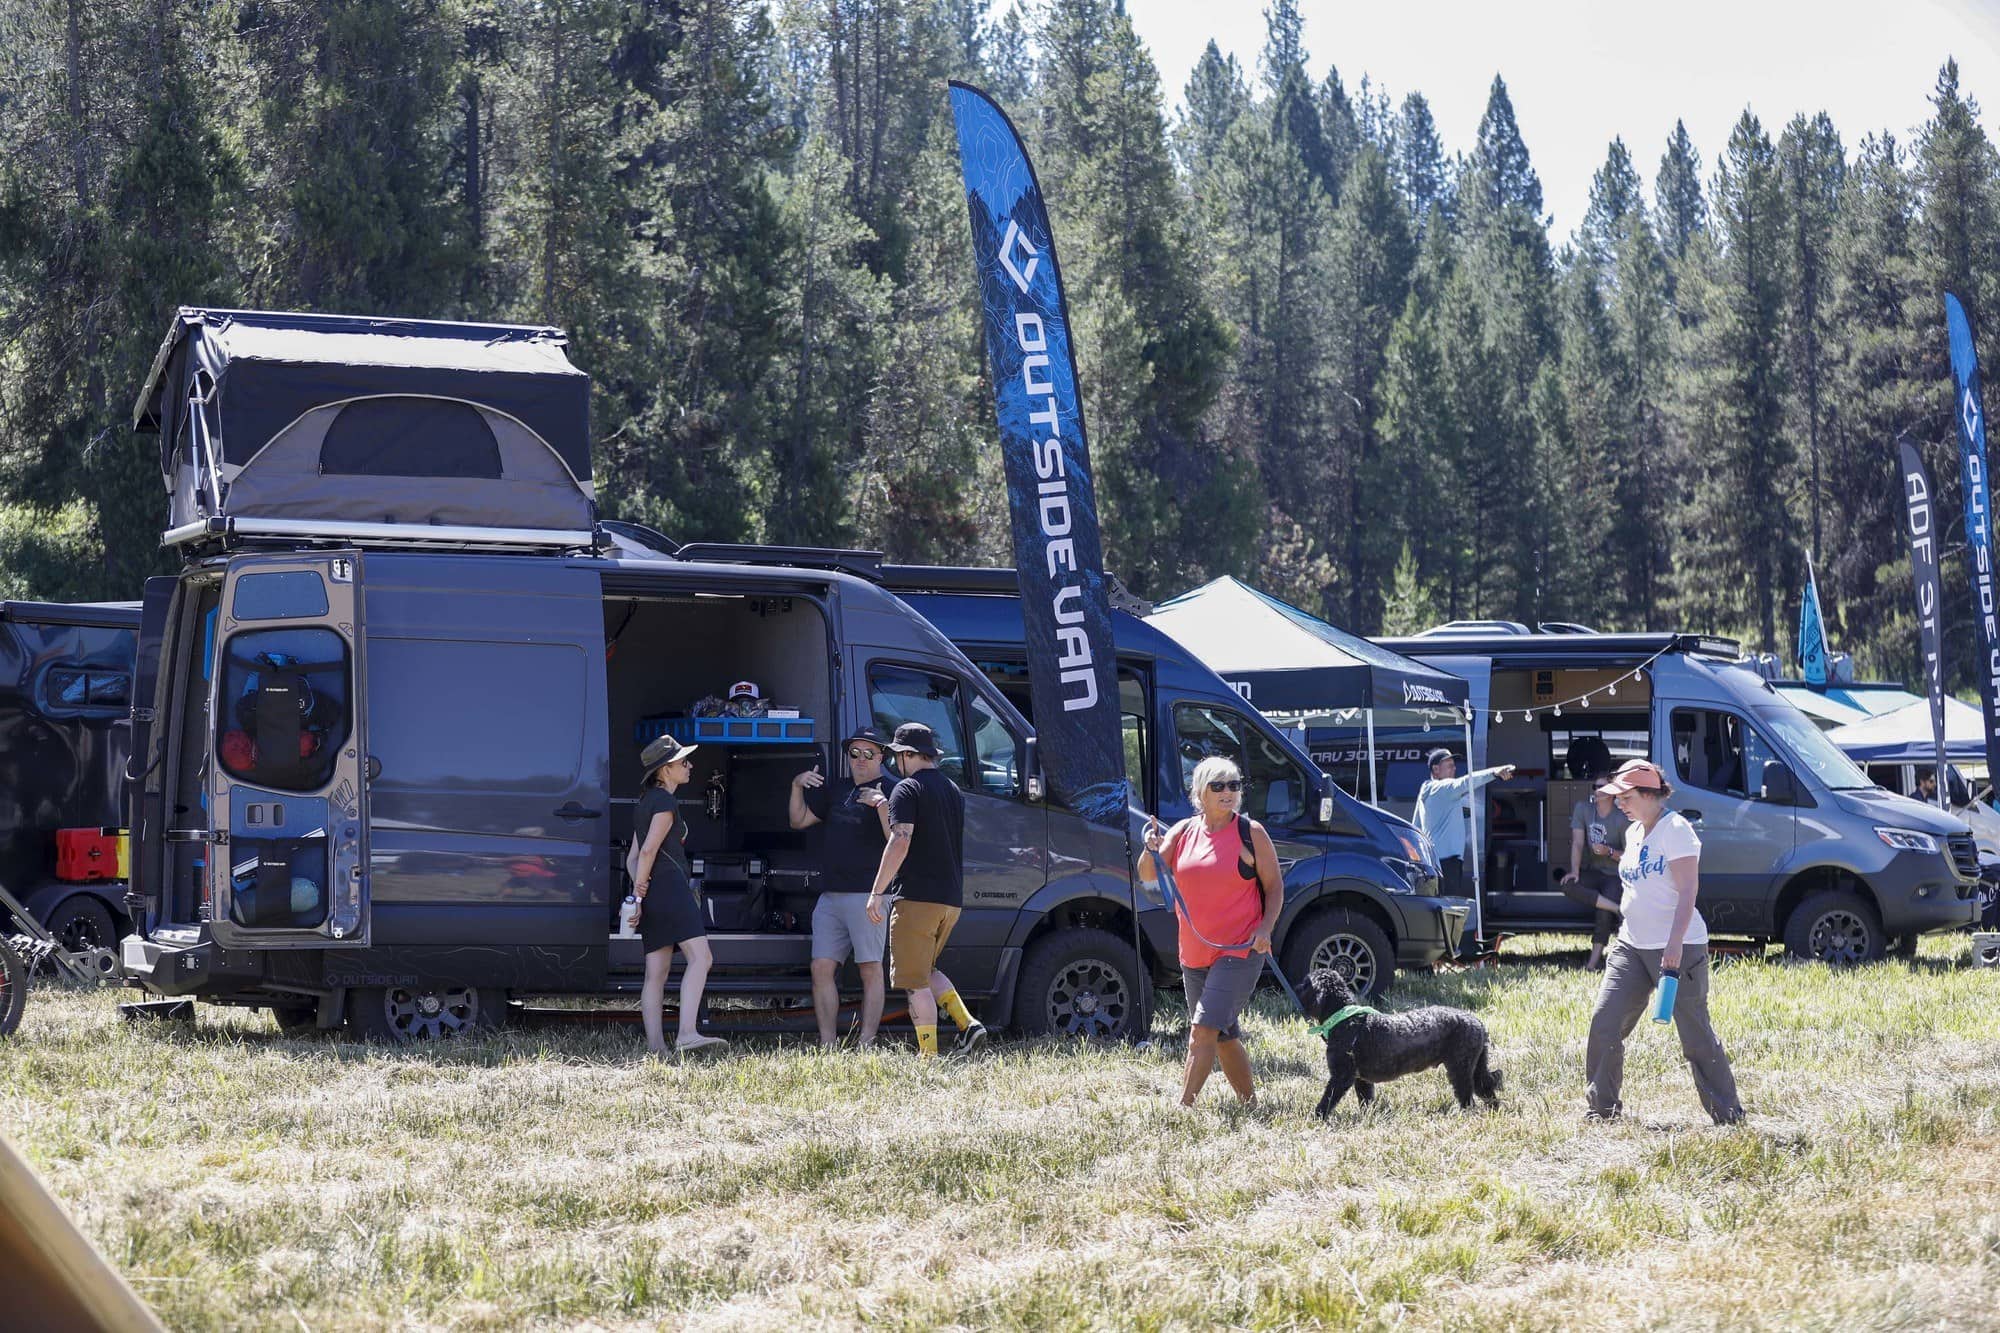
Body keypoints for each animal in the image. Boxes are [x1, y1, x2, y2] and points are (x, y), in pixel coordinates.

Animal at [1296, 964, 1504, 1112]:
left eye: (1306, 983)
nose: (1295, 987)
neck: (1346, 1018)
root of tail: (1478, 1022)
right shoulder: (1361, 1079)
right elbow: (1366, 1100)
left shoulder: (1341, 1076)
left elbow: (1327, 1100)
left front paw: (1317, 1117)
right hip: (1474, 1067)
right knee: (1486, 1088)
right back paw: (1494, 1111)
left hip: (1460, 1067)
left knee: (1468, 1098)